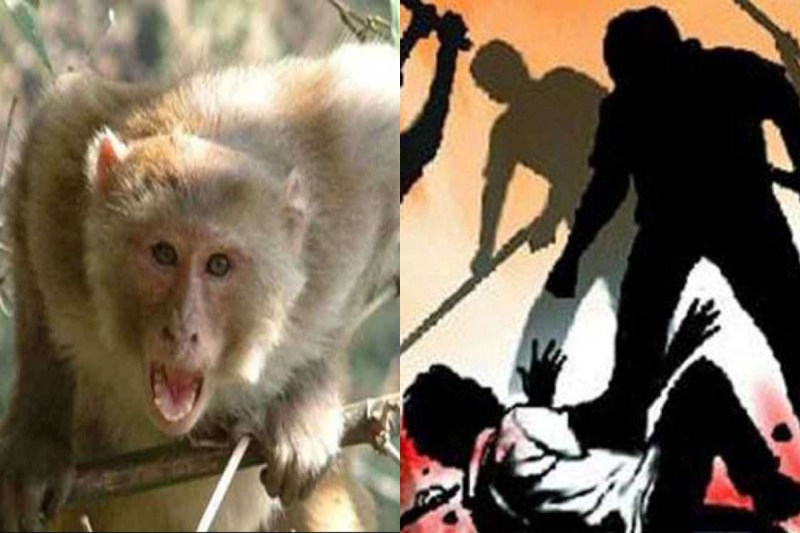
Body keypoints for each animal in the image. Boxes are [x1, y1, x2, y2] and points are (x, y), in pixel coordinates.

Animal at [0, 42, 398, 532]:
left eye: (219, 265)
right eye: (164, 253)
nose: (181, 331)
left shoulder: (347, 164)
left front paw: (307, 404)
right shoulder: (63, 184)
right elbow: (51, 132)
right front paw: (38, 441)